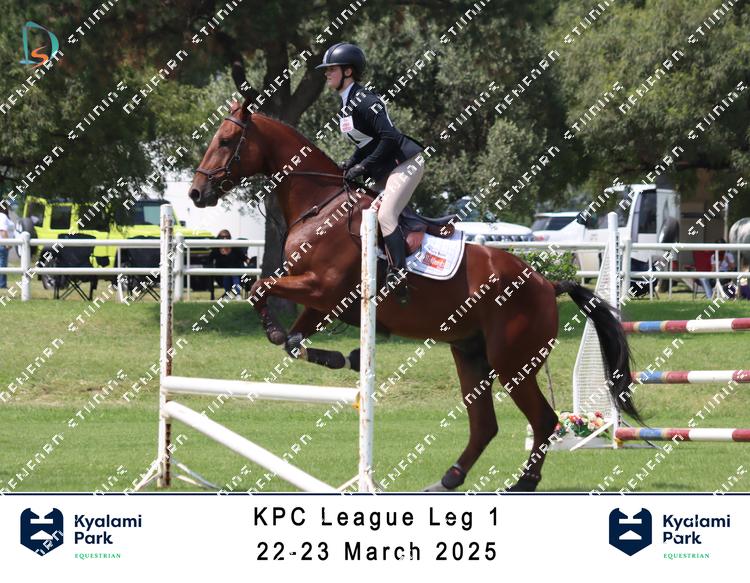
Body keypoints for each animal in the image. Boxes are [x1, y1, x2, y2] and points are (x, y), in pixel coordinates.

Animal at [188, 100, 640, 492]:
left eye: (226, 140)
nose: (196, 193)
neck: (320, 205)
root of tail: (547, 284)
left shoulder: (322, 287)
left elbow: (258, 290)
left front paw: (283, 332)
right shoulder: (324, 303)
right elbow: (294, 340)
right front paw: (346, 358)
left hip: (513, 361)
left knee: (543, 420)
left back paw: (522, 484)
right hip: (471, 354)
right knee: (485, 424)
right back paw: (448, 480)